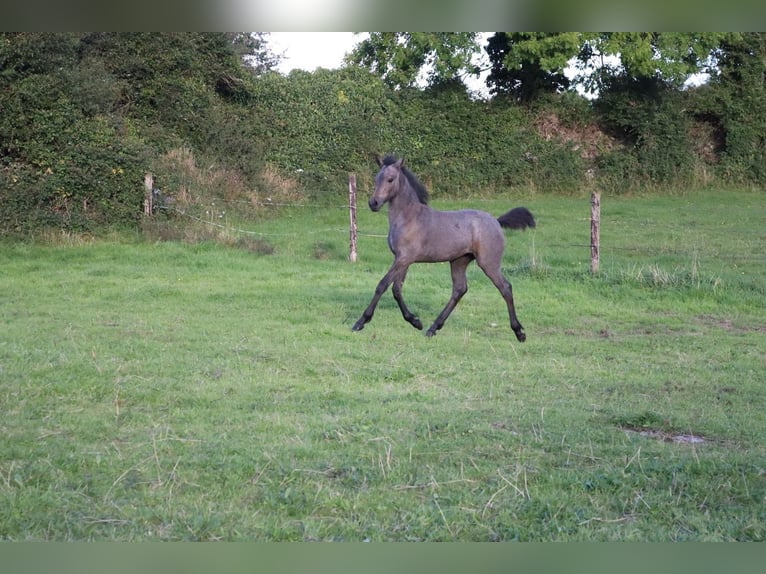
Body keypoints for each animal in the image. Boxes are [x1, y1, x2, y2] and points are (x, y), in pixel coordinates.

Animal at [352, 155, 536, 342]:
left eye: (390, 179)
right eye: (376, 178)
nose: (373, 203)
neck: (409, 217)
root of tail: (497, 221)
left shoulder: (403, 258)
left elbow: (382, 285)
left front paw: (361, 322)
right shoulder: (403, 260)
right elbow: (396, 289)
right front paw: (415, 321)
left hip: (488, 263)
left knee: (505, 287)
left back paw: (519, 332)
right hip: (459, 261)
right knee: (460, 289)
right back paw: (433, 328)